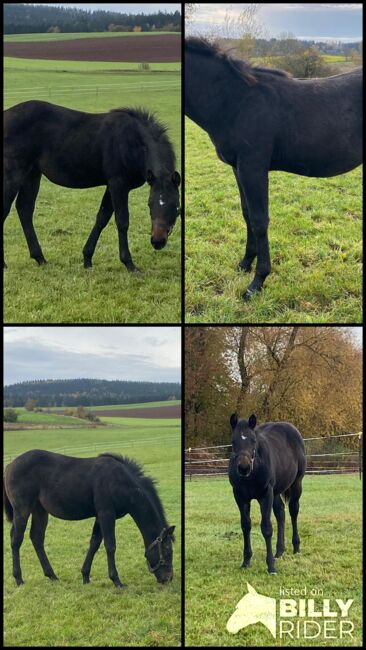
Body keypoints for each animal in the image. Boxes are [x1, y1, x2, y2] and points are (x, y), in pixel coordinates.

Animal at [2, 98, 180, 268]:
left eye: (177, 207)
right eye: (149, 204)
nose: (157, 241)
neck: (132, 142)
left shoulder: (113, 185)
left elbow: (102, 218)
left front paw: (87, 258)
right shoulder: (118, 183)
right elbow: (122, 221)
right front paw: (129, 263)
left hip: (32, 174)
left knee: (25, 208)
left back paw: (40, 258)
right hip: (14, 173)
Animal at [3, 450, 176, 588]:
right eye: (167, 551)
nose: (168, 579)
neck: (120, 481)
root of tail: (10, 465)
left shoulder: (100, 516)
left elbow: (94, 543)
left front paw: (85, 577)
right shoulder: (106, 513)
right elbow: (110, 545)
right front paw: (117, 581)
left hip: (40, 510)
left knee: (37, 537)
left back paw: (52, 576)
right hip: (22, 510)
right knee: (16, 540)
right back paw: (19, 579)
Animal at [229, 416, 306, 572]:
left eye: (253, 440)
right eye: (233, 441)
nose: (244, 467)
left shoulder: (265, 495)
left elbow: (266, 528)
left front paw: (270, 566)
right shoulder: (240, 496)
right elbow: (245, 525)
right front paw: (246, 561)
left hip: (296, 484)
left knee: (293, 511)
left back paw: (296, 547)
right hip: (276, 492)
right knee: (280, 513)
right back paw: (279, 551)